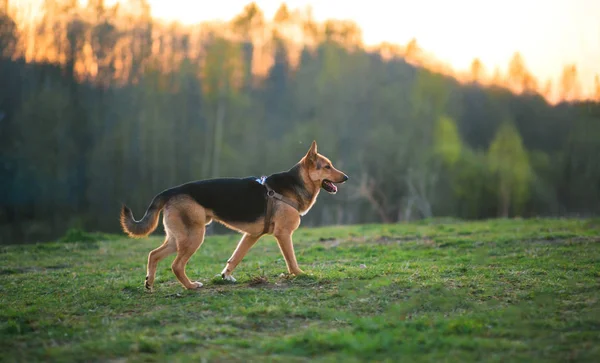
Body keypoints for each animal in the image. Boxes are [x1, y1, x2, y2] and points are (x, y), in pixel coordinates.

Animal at [119, 141, 350, 292]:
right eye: (327, 166)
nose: (347, 177)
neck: (296, 184)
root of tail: (170, 191)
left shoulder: (251, 235)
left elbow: (236, 257)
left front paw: (226, 276)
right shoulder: (283, 234)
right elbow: (291, 259)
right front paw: (300, 275)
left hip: (178, 238)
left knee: (153, 254)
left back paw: (149, 283)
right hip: (194, 236)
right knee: (176, 265)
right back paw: (191, 286)